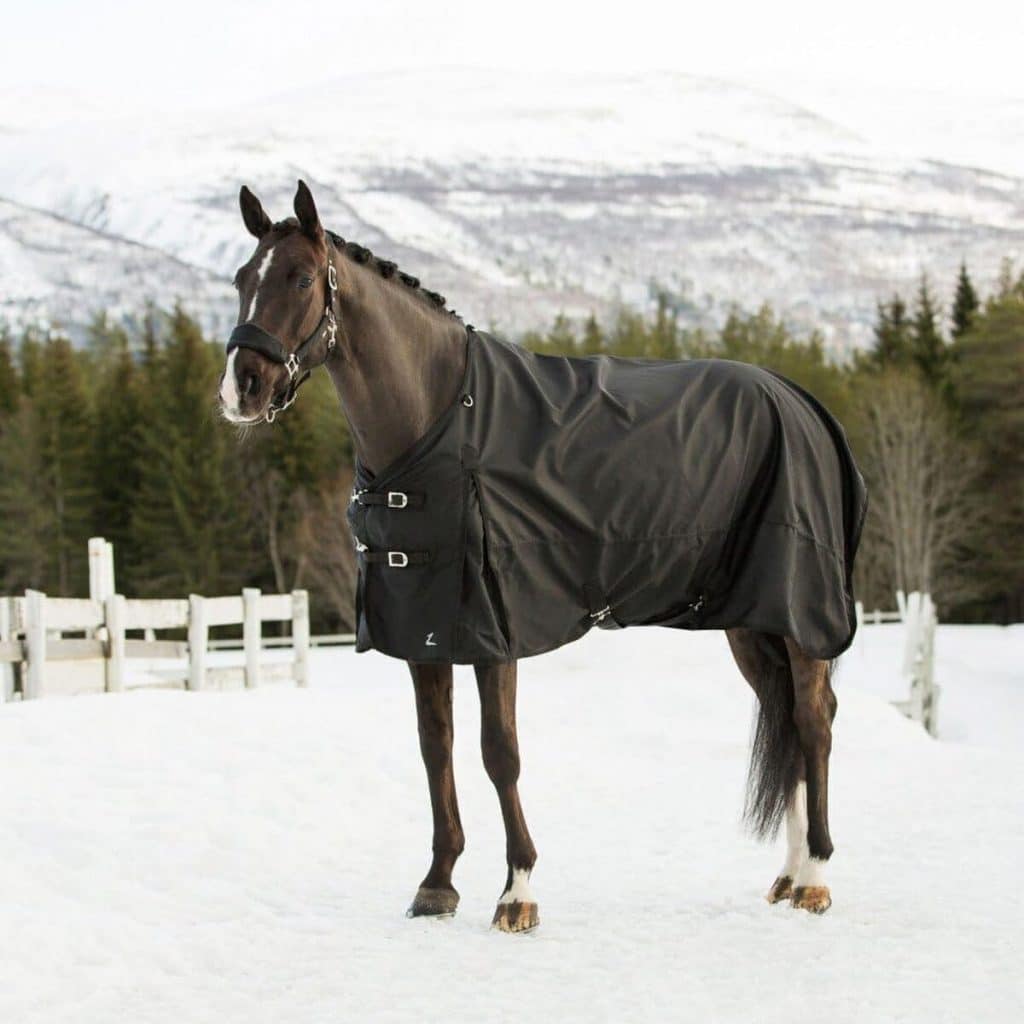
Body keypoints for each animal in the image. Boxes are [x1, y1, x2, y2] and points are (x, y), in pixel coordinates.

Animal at [218, 180, 866, 932]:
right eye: (242, 279)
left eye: (298, 278)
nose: (241, 388)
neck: (441, 420)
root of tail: (802, 402)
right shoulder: (423, 630)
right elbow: (434, 747)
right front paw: (437, 885)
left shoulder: (494, 627)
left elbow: (499, 752)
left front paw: (517, 891)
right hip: (753, 618)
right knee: (785, 717)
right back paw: (788, 876)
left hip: (800, 613)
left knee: (814, 721)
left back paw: (816, 878)